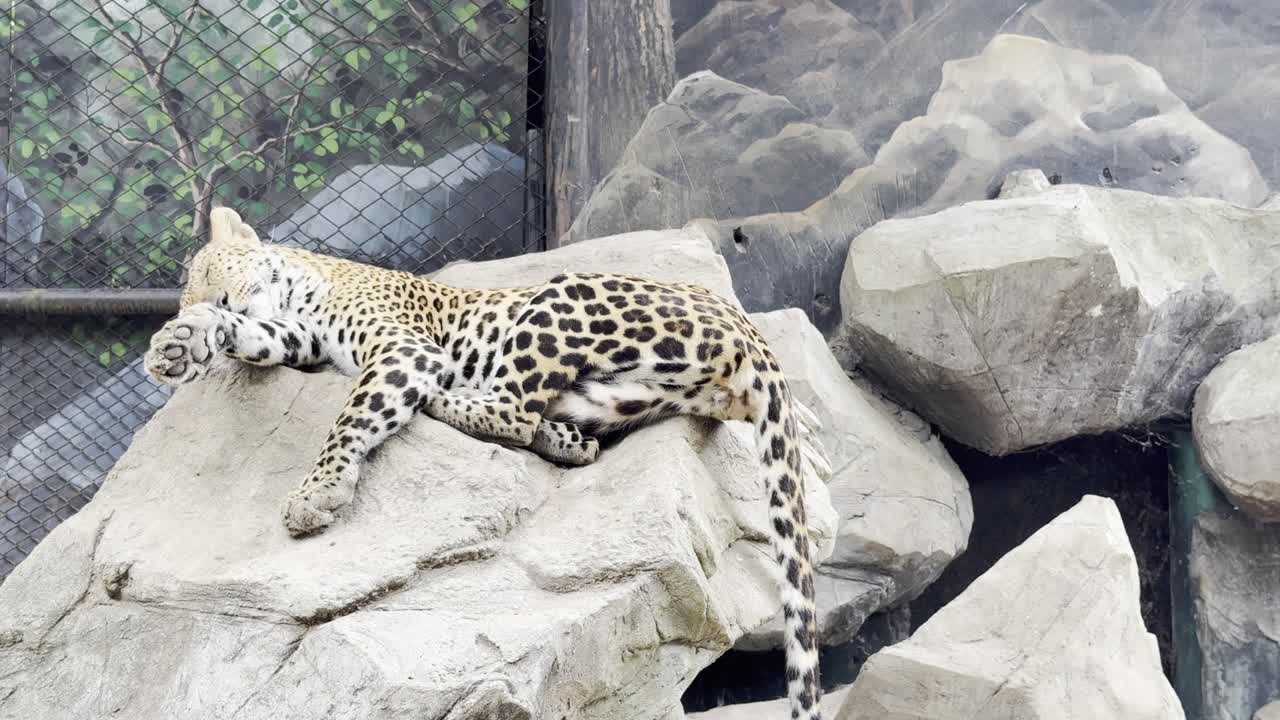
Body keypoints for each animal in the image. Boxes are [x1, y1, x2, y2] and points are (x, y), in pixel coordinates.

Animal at [145, 207, 832, 720]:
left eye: (209, 267)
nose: (199, 300)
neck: (308, 285)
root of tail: (749, 329)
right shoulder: (297, 338)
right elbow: (255, 336)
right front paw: (184, 342)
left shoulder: (402, 350)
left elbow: (352, 413)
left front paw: (319, 493)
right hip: (630, 393)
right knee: (542, 419)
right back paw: (564, 441)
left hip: (563, 297)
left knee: (510, 407)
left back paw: (451, 400)